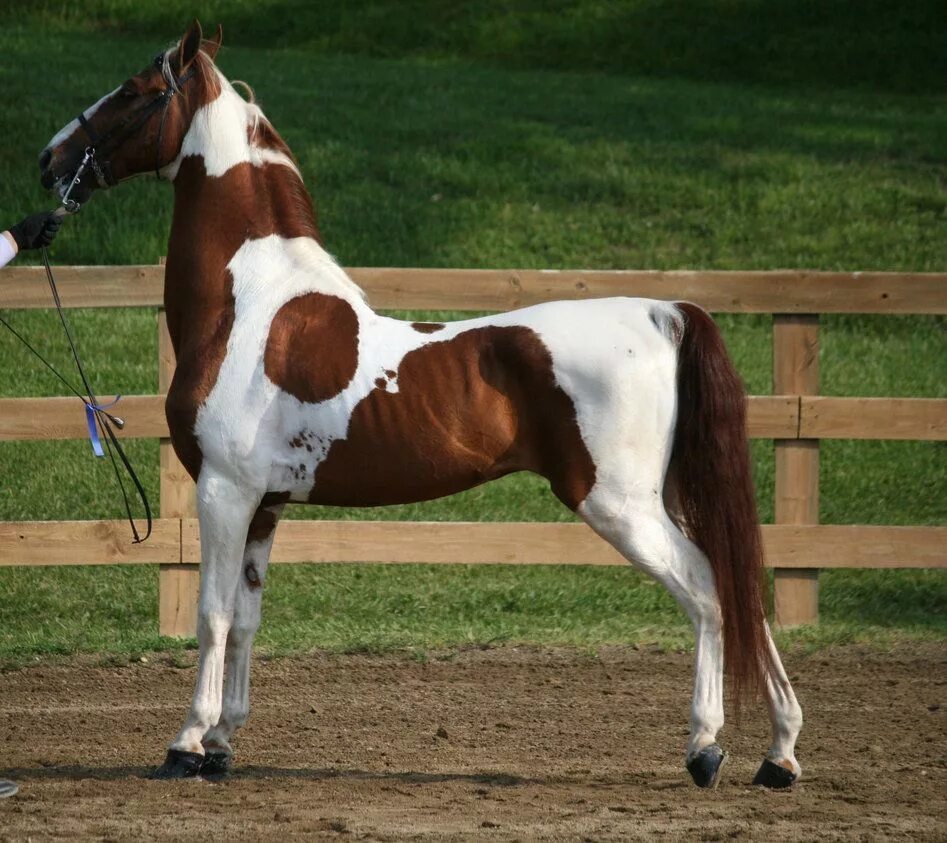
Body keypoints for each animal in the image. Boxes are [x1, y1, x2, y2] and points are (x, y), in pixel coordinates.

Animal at [40, 21, 804, 792]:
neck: (248, 305)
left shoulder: (224, 492)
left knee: (706, 590)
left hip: (618, 503)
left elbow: (213, 616)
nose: (50, 160)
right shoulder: (266, 503)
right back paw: (778, 753)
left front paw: (189, 744)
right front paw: (225, 741)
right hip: (666, 496)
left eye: (134, 90)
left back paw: (705, 748)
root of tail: (663, 312)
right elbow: (248, 617)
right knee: (737, 587)